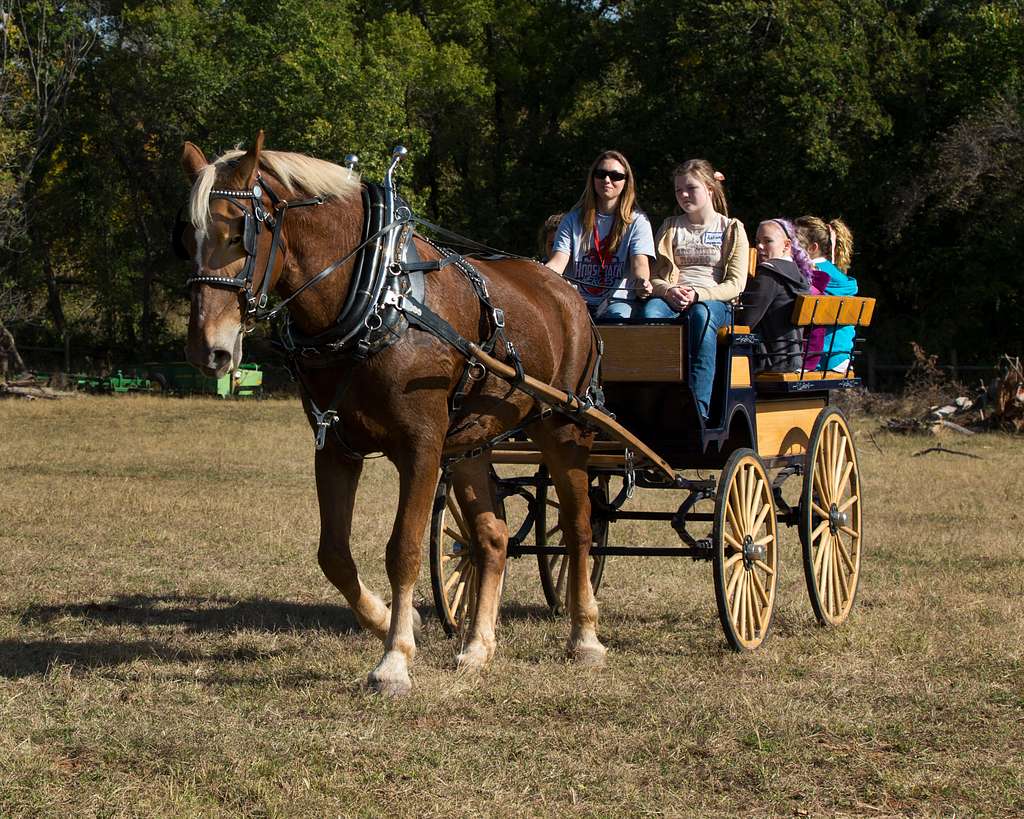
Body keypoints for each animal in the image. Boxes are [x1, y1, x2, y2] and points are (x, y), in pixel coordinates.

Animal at [181, 134, 602, 696]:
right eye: (187, 236)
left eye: (237, 233)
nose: (207, 350)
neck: (378, 298)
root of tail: (566, 292)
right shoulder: (337, 446)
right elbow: (333, 554)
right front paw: (394, 622)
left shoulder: (420, 447)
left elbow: (402, 549)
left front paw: (394, 660)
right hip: (468, 442)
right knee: (491, 539)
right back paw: (477, 646)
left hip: (564, 428)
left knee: (578, 528)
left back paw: (585, 637)